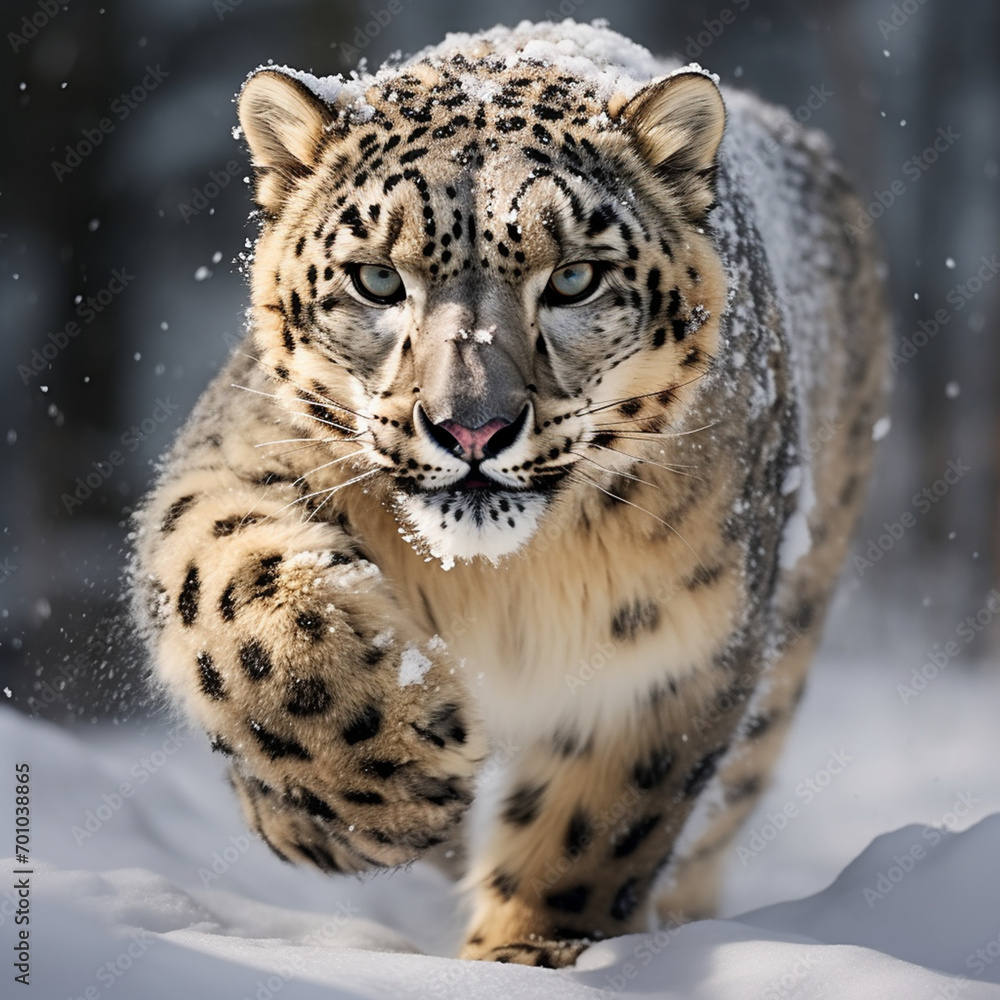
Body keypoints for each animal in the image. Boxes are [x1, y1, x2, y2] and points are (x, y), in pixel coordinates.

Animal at [130, 20, 888, 968]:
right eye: (378, 279)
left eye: (574, 279)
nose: (472, 429)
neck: (504, 582)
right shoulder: (236, 462)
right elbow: (241, 607)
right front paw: (390, 784)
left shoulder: (679, 643)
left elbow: (595, 822)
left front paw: (525, 954)